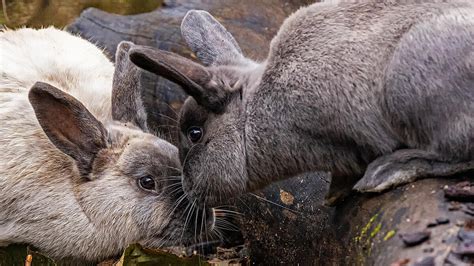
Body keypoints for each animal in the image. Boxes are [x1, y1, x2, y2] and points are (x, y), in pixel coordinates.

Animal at [128, 0, 472, 206]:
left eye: (195, 134)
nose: (186, 188)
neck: (254, 112)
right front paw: (334, 194)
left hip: (407, 82)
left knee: (455, 153)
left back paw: (386, 172)